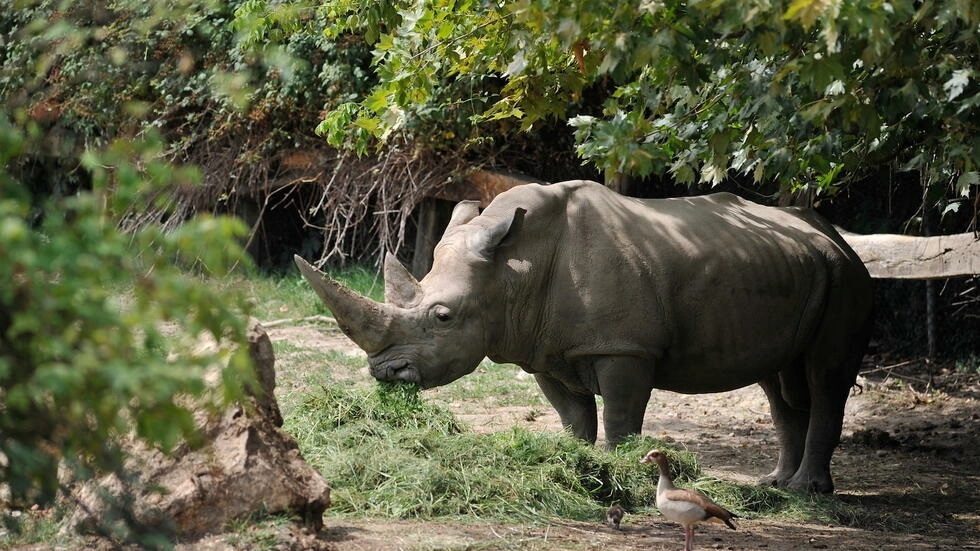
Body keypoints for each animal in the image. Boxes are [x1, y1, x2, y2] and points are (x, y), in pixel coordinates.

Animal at [295, 180, 874, 493]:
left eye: (442, 317)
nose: (385, 374)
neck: (512, 269)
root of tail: (836, 235)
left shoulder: (624, 348)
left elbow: (619, 415)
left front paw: (625, 470)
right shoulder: (542, 348)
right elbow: (572, 417)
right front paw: (576, 465)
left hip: (847, 278)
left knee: (823, 377)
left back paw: (808, 491)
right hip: (798, 269)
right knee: (779, 381)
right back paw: (775, 484)